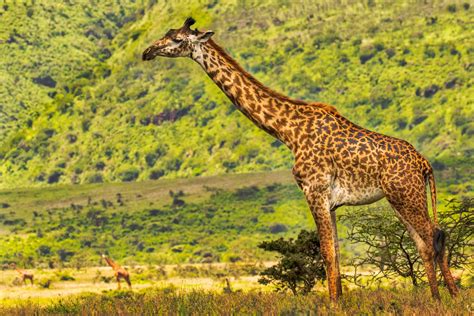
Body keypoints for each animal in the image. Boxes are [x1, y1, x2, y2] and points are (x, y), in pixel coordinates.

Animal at [142, 17, 460, 302]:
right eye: (166, 34)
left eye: (177, 39)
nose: (147, 52)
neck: (287, 131)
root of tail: (424, 164)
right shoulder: (330, 201)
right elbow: (336, 252)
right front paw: (339, 300)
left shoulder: (314, 191)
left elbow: (327, 252)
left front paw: (333, 304)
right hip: (400, 199)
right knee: (423, 242)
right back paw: (435, 297)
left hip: (406, 194)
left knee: (436, 234)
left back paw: (452, 296)